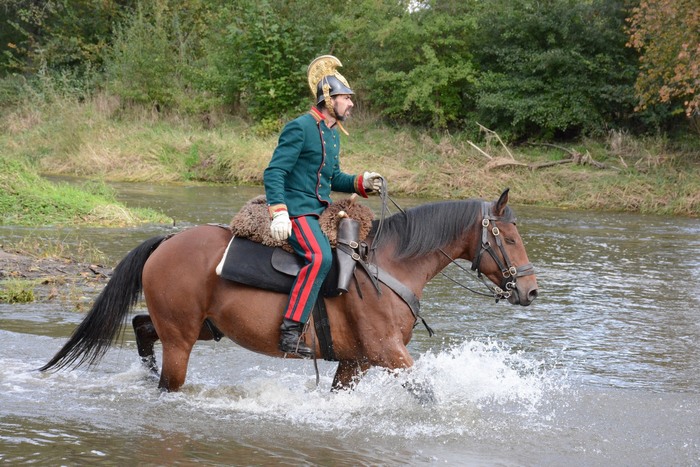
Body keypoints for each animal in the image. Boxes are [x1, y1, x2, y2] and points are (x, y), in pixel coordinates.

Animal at [40, 189, 538, 393]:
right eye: (510, 238)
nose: (531, 291)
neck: (389, 267)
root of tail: (167, 241)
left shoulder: (356, 361)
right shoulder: (387, 353)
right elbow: (426, 392)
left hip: (200, 327)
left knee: (144, 327)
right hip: (182, 337)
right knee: (168, 377)